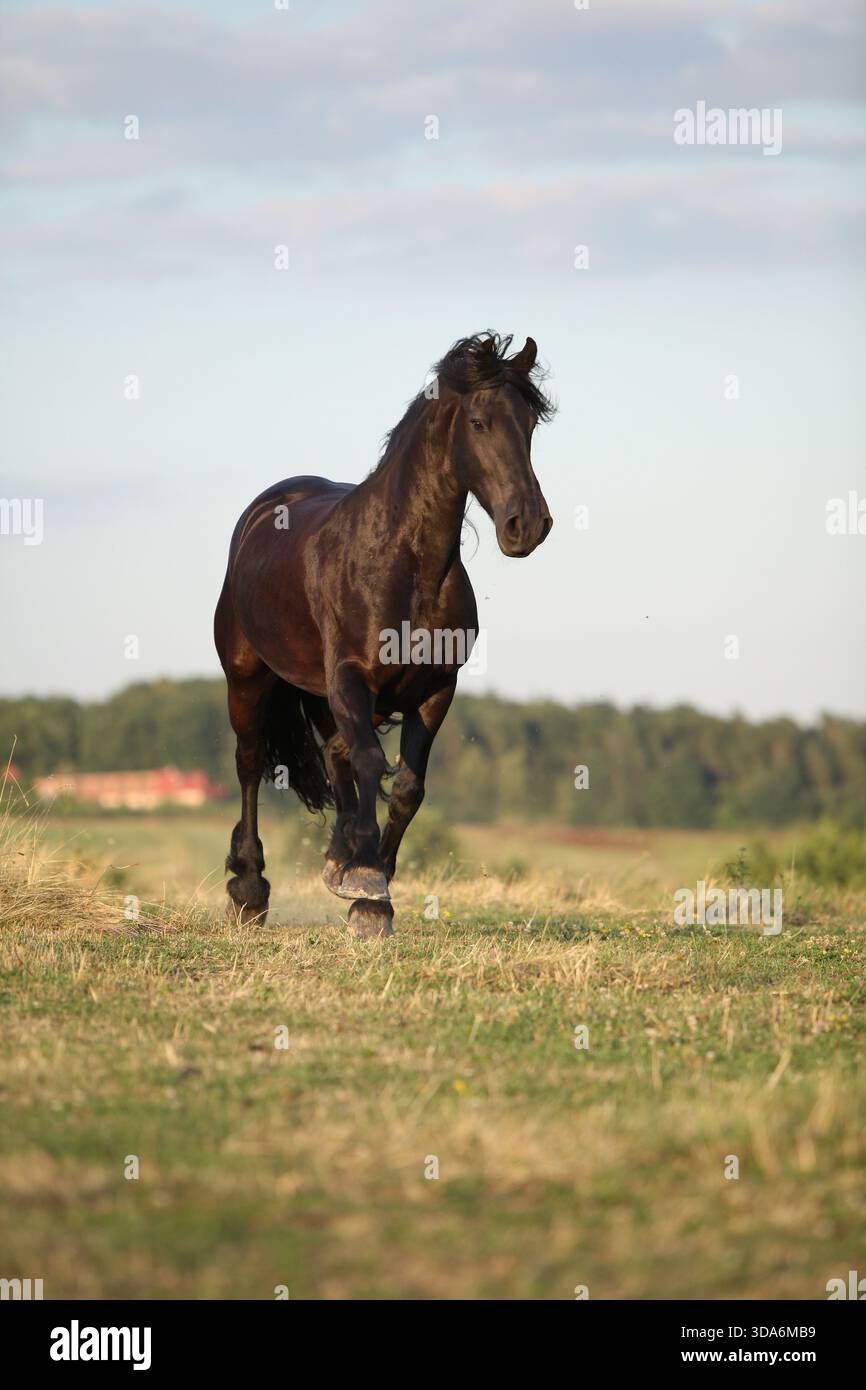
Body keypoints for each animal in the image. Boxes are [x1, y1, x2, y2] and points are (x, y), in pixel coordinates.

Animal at [214, 331, 556, 934]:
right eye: (478, 422)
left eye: (530, 423)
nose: (528, 525)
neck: (404, 564)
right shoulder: (352, 677)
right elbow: (373, 762)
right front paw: (367, 882)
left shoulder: (435, 690)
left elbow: (407, 788)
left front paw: (367, 888)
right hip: (249, 678)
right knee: (252, 763)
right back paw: (250, 888)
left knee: (335, 753)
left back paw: (336, 856)